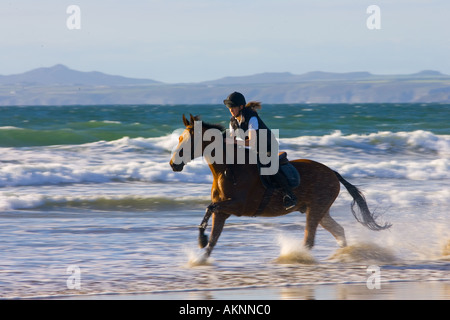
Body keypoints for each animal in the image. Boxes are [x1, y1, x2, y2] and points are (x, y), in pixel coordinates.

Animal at [169, 114, 390, 258]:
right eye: (179, 138)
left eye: (189, 141)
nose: (173, 164)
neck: (228, 168)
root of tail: (332, 173)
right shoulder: (223, 211)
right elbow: (212, 235)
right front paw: (201, 250)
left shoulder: (238, 206)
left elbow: (210, 208)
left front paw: (201, 241)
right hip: (319, 210)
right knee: (338, 231)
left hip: (316, 209)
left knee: (309, 240)